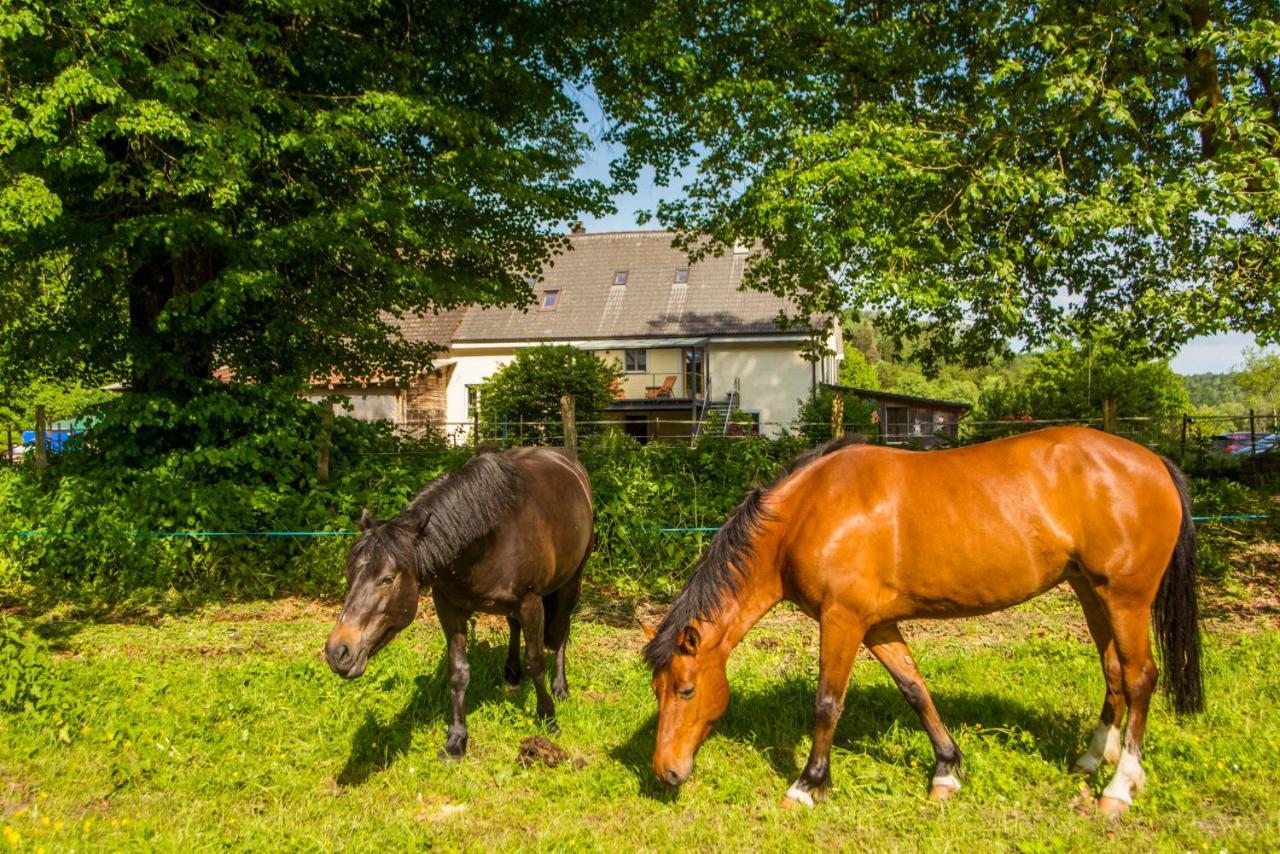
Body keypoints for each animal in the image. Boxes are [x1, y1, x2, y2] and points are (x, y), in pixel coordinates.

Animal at [325, 445, 593, 757]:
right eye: (350, 573)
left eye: (387, 579)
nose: (338, 652)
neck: (489, 536)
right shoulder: (448, 606)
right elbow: (458, 672)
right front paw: (456, 739)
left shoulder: (531, 603)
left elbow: (537, 662)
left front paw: (549, 718)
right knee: (514, 625)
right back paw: (512, 674)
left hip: (572, 580)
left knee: (561, 629)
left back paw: (560, 687)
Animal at [645, 427, 1203, 814]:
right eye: (658, 690)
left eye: (687, 690)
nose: (666, 772)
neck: (809, 511)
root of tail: (1153, 461)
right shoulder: (875, 625)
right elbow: (915, 689)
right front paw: (946, 771)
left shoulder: (842, 620)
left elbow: (827, 704)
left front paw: (808, 785)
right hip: (1091, 592)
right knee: (1113, 671)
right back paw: (1092, 758)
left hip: (1126, 597)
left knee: (1140, 677)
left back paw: (1120, 786)